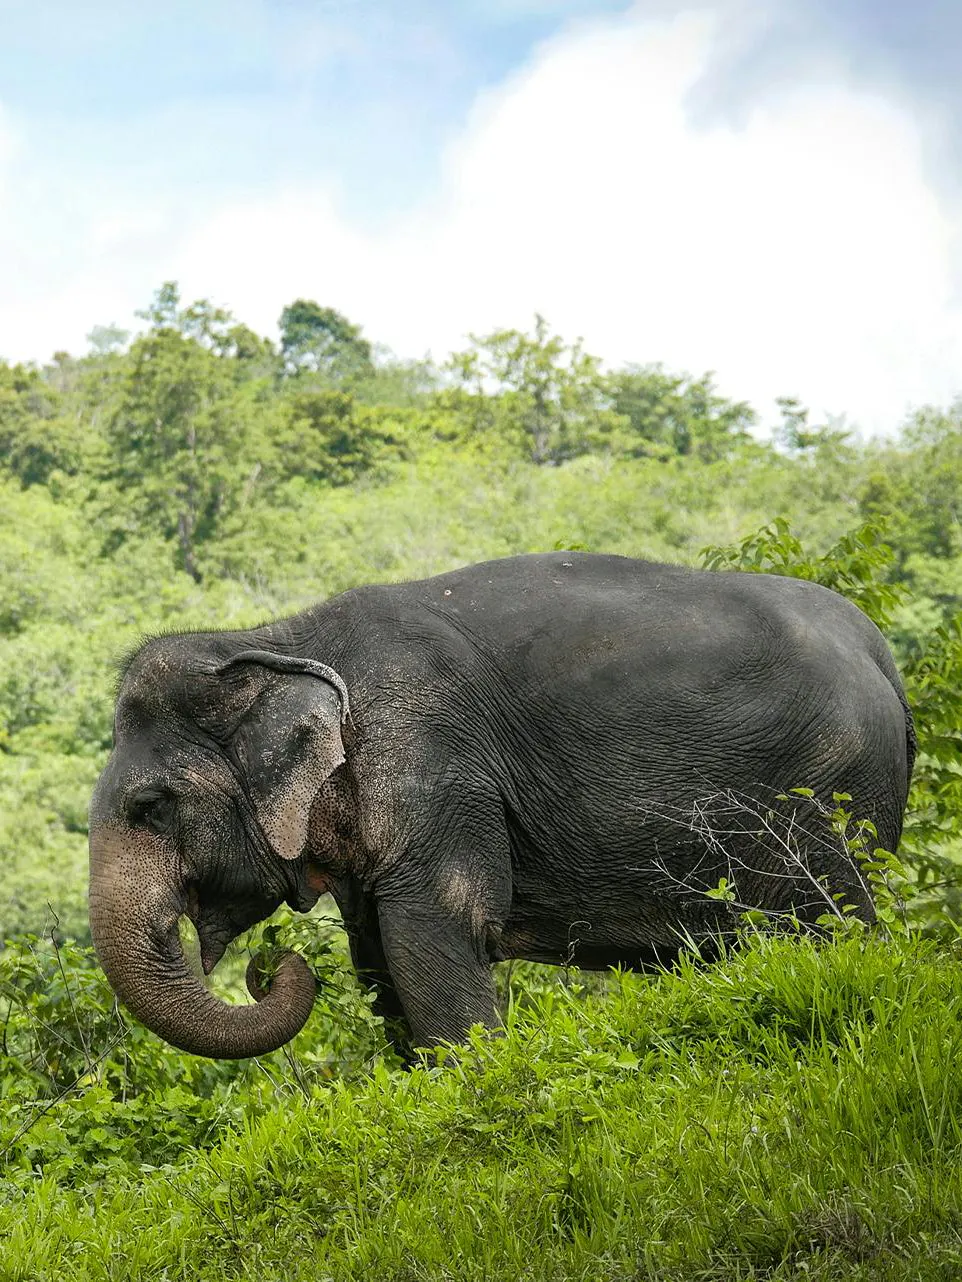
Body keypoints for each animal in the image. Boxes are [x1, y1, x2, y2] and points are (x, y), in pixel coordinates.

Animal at [88, 551, 915, 1061]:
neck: (277, 637)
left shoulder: (435, 764)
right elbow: (375, 956)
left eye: (152, 806)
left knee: (828, 921)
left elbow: (434, 933)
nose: (269, 968)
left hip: (828, 788)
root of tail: (881, 651)